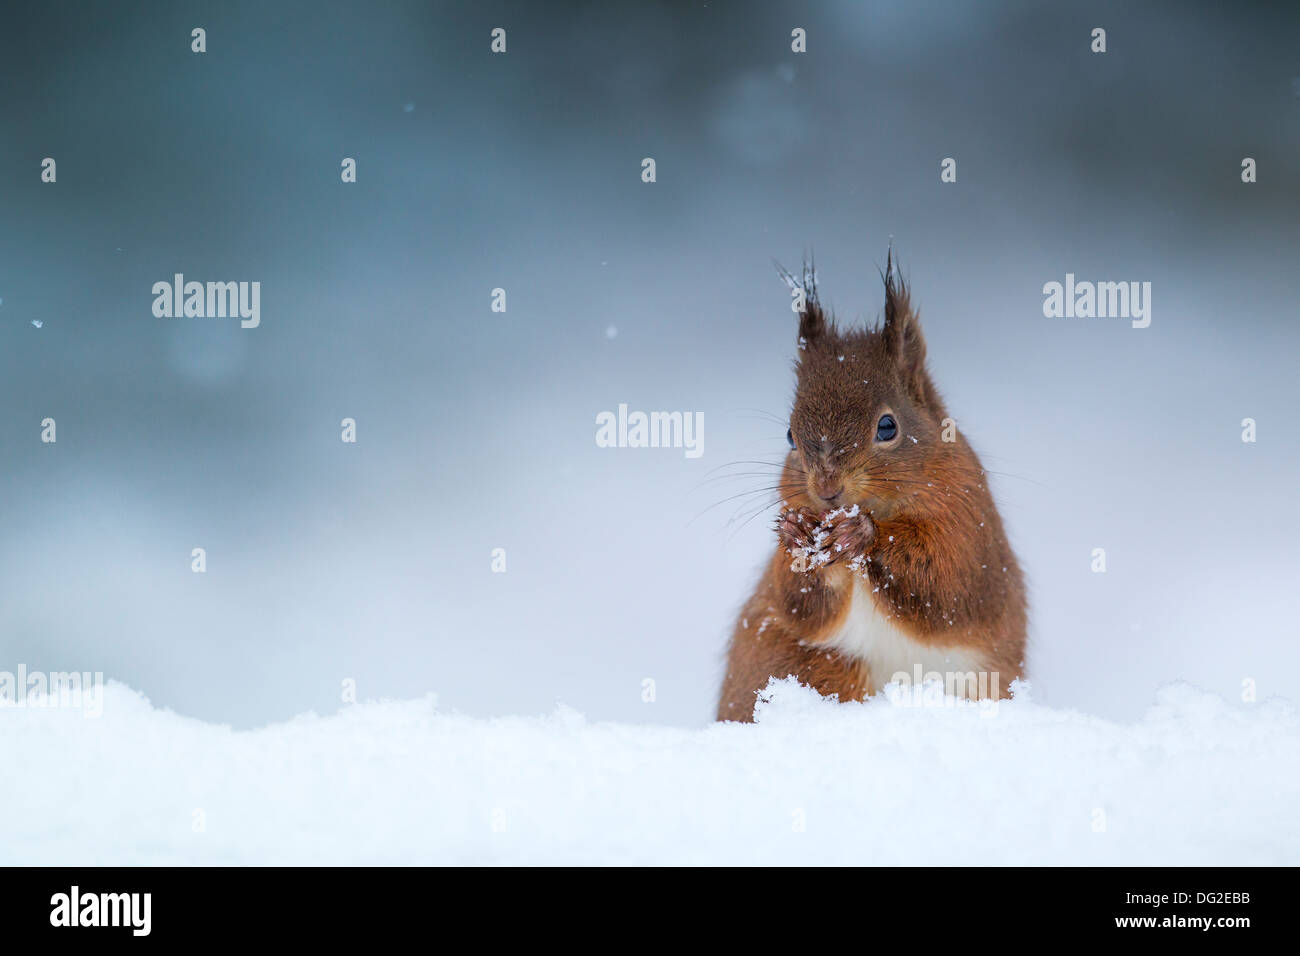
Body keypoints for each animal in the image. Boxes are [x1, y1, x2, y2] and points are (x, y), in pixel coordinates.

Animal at [717, 257, 1029, 723]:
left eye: (887, 426)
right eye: (790, 436)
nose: (827, 487)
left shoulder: (969, 522)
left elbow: (948, 584)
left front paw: (861, 534)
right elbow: (799, 605)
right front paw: (796, 537)